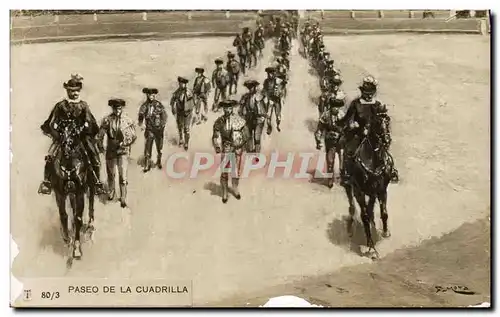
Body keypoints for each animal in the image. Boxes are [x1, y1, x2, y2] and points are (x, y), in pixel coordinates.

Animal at [49, 117, 97, 260]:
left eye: (74, 132)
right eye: (61, 131)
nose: (66, 147)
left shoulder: (80, 193)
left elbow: (78, 217)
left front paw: (76, 249)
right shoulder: (60, 193)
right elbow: (63, 215)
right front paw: (66, 237)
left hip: (91, 186)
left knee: (91, 202)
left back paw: (90, 223)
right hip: (70, 194)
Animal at [340, 112, 394, 258]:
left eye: (388, 121)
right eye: (377, 123)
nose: (387, 139)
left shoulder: (381, 190)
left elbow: (384, 212)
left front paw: (385, 232)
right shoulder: (359, 192)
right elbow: (364, 216)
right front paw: (371, 248)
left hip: (372, 192)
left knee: (370, 209)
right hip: (349, 186)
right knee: (352, 206)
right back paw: (350, 227)